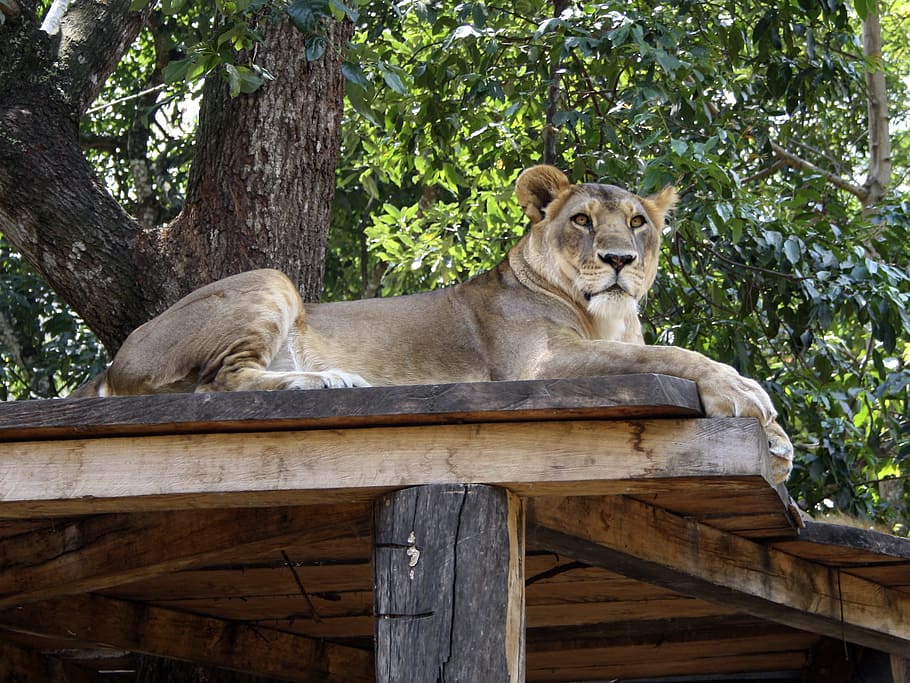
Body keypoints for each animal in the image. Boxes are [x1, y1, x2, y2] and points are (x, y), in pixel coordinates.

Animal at [72, 165, 793, 482]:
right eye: (583, 220)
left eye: (638, 223)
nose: (618, 260)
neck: (608, 317)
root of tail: (112, 361)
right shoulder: (535, 366)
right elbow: (669, 355)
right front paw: (744, 395)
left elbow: (662, 348)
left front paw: (778, 440)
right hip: (272, 281)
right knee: (222, 383)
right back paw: (330, 381)